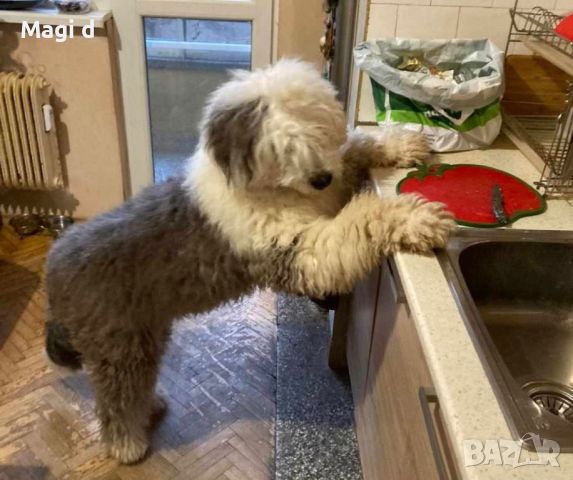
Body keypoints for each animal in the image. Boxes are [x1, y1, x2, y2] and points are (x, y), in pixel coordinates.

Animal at [44, 58, 456, 464]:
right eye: (281, 149)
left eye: (316, 130)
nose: (321, 178)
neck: (270, 189)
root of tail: (54, 265)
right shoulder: (301, 251)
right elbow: (362, 218)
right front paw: (416, 218)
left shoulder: (331, 187)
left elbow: (354, 149)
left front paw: (404, 143)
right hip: (119, 348)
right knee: (117, 397)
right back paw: (127, 445)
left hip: (145, 334)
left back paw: (151, 407)